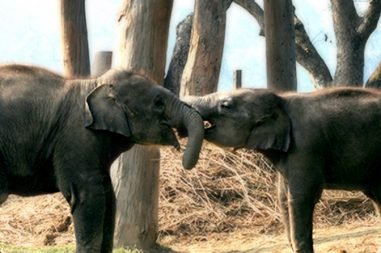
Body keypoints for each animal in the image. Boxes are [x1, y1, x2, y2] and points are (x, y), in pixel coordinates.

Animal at [0, 64, 205, 253]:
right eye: (158, 103)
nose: (181, 151)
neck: (95, 84)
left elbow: (109, 197)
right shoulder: (76, 139)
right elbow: (90, 197)